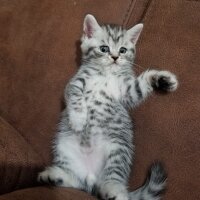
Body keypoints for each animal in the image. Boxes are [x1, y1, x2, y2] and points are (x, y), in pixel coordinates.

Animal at [38, 14, 178, 200]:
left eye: (123, 50)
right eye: (104, 49)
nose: (115, 57)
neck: (106, 74)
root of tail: (91, 178)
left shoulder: (127, 92)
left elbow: (140, 85)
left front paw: (163, 79)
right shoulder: (75, 83)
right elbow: (75, 95)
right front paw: (78, 119)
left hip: (118, 152)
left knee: (111, 178)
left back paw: (114, 191)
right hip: (63, 146)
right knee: (77, 182)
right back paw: (55, 176)